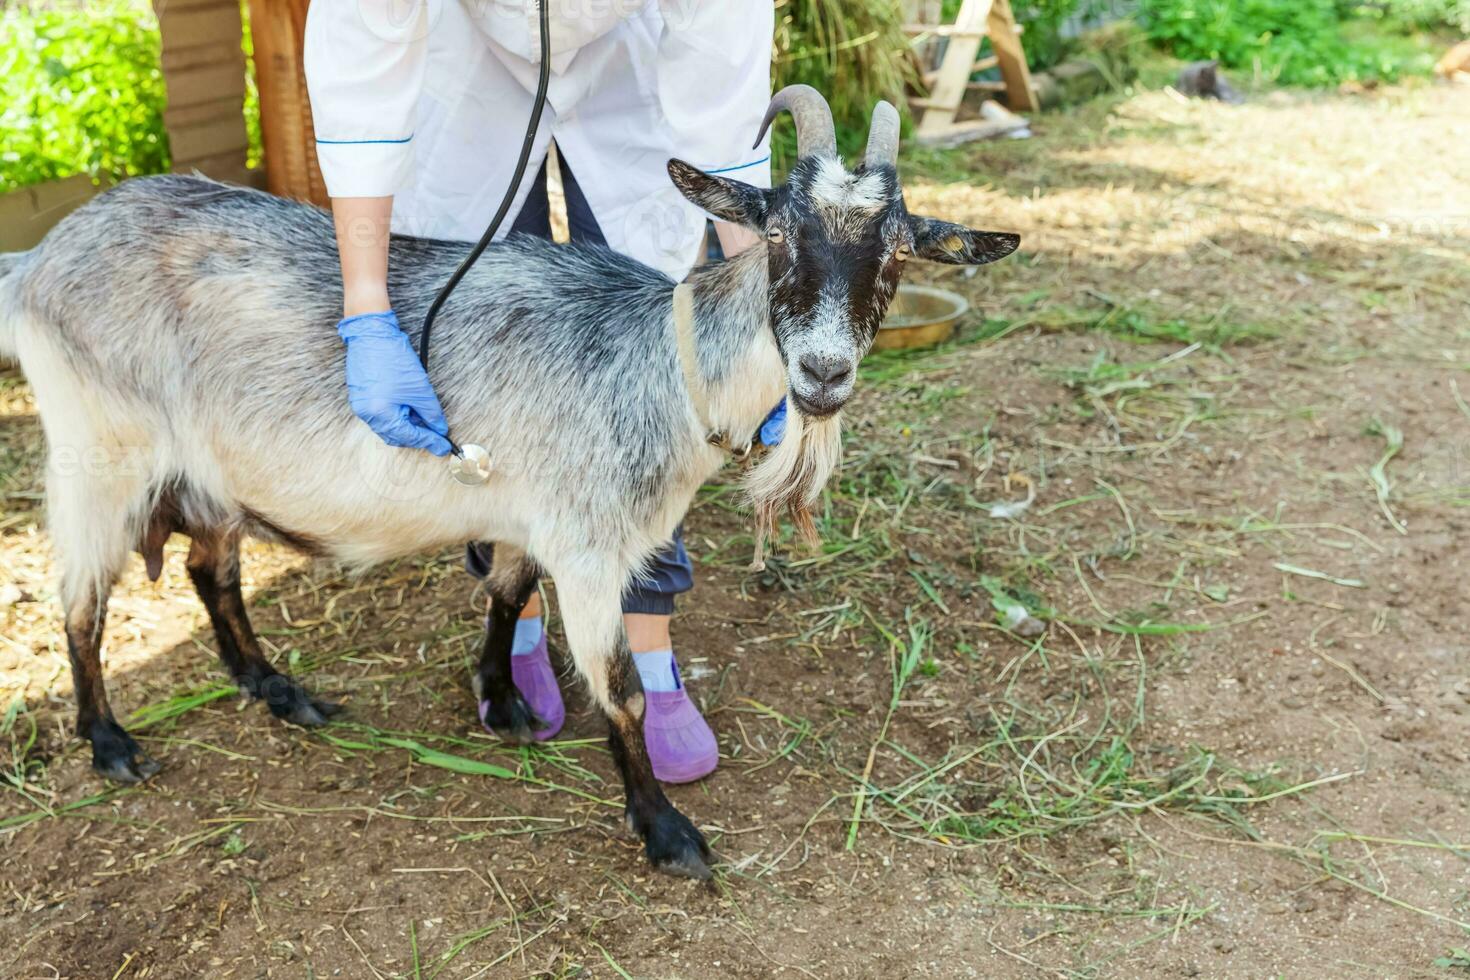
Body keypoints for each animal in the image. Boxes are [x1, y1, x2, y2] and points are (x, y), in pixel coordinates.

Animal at [0, 88, 1017, 875]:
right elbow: (622, 690)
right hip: (100, 453)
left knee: (212, 571)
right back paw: (111, 743)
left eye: (897, 252)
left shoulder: (535, 517)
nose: (823, 375)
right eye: (779, 236)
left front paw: (500, 700)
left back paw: (279, 691)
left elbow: (504, 591)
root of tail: (43, 256)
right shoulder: (590, 548)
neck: (661, 367)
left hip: (208, 470)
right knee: (80, 600)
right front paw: (666, 833)